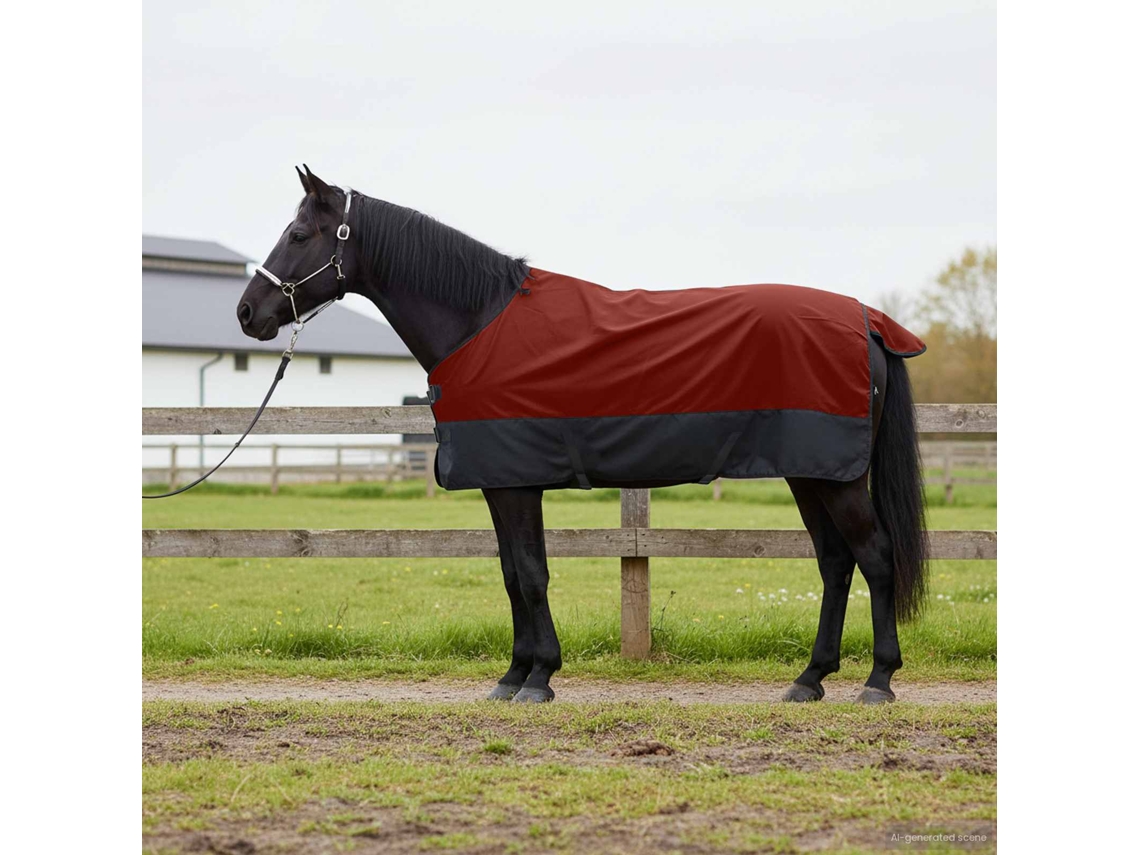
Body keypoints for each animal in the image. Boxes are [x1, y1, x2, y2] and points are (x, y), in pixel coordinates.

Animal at [237, 165, 929, 705]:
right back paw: (810, 679)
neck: (478, 322)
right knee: (835, 562)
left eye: (298, 235)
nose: (248, 313)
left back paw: (878, 680)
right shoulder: (502, 484)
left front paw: (538, 677)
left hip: (835, 478)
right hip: (811, 474)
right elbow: (513, 573)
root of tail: (867, 321)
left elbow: (531, 574)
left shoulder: (516, 484)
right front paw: (514, 675)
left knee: (875, 556)